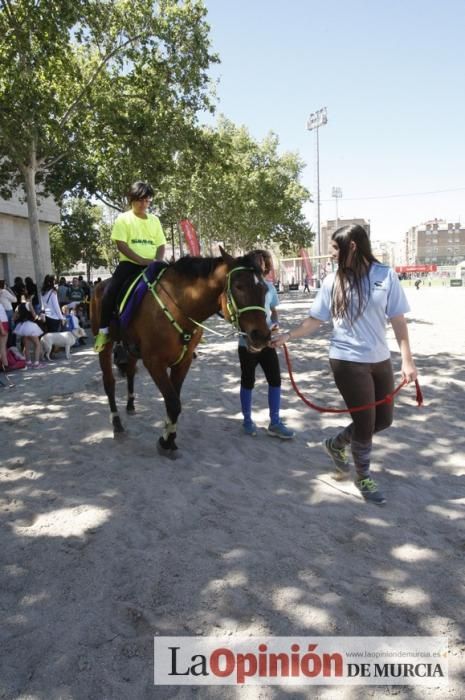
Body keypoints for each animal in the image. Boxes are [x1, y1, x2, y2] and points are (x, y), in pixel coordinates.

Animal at [89, 249, 268, 456]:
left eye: (265, 289)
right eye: (239, 287)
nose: (262, 336)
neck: (179, 304)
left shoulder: (184, 360)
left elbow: (173, 400)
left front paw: (169, 436)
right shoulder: (154, 362)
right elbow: (173, 403)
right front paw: (165, 441)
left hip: (130, 347)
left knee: (131, 371)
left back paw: (131, 404)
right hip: (106, 345)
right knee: (109, 383)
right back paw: (117, 423)